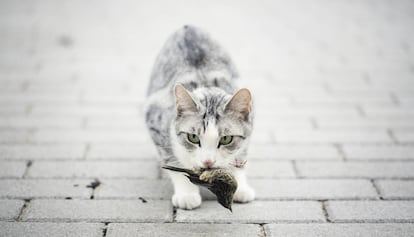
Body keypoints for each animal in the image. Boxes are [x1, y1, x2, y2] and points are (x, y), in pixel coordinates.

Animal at [146, 25, 256, 208]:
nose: (208, 162)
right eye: (193, 137)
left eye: (226, 139)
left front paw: (240, 187)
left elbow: (240, 154)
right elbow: (172, 161)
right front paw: (187, 194)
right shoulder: (155, 119)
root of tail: (187, 26)